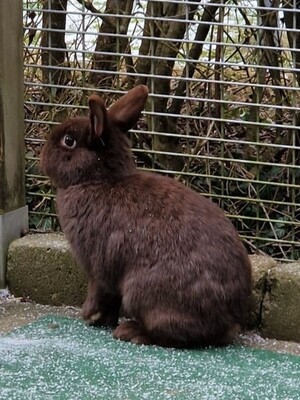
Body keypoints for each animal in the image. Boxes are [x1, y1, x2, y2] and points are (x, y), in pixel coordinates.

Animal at [41, 85, 252, 346]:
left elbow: (99, 292)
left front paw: (89, 316)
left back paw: (130, 332)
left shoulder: (97, 267)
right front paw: (103, 320)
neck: (97, 180)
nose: (42, 157)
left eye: (68, 141)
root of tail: (228, 322)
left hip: (140, 291)